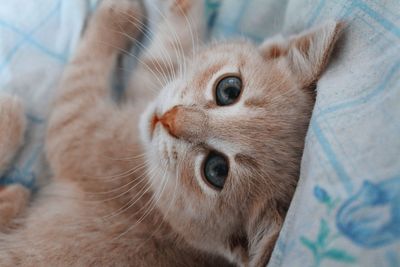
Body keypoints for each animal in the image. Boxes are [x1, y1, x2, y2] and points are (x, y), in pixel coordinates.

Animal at [0, 0, 344, 266]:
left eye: (216, 170)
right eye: (229, 89)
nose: (169, 119)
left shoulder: (77, 131)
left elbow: (82, 75)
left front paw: (116, 16)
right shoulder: (151, 89)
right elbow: (165, 53)